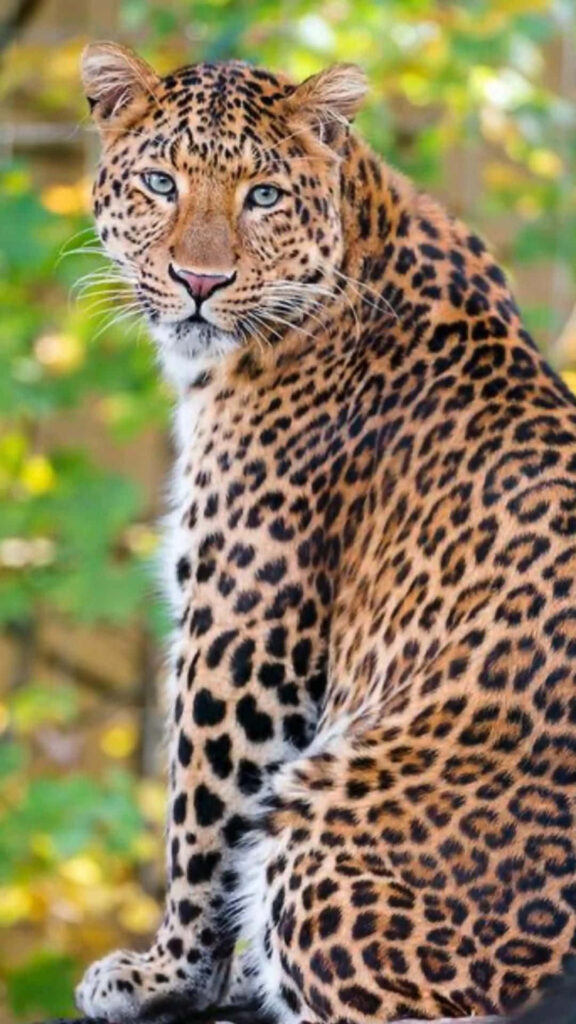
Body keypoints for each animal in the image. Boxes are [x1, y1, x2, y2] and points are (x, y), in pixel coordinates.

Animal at [75, 41, 576, 1024]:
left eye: (263, 195)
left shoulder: (242, 627)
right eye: (159, 182)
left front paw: (162, 976)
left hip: (320, 818)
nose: (200, 283)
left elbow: (199, 824)